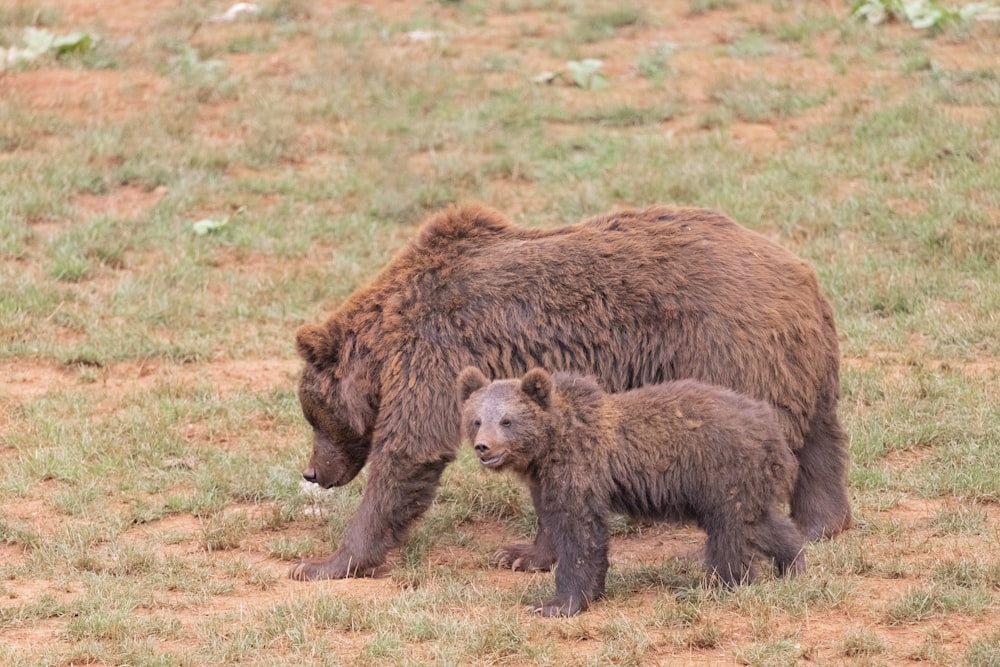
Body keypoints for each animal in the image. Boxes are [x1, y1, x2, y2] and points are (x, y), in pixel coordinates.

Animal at [290, 202, 852, 580]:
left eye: (313, 416)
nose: (313, 472)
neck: (383, 345)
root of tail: (800, 274)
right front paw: (524, 553)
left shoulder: (434, 352)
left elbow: (408, 452)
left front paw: (326, 562)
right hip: (802, 365)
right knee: (821, 443)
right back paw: (822, 523)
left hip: (725, 353)